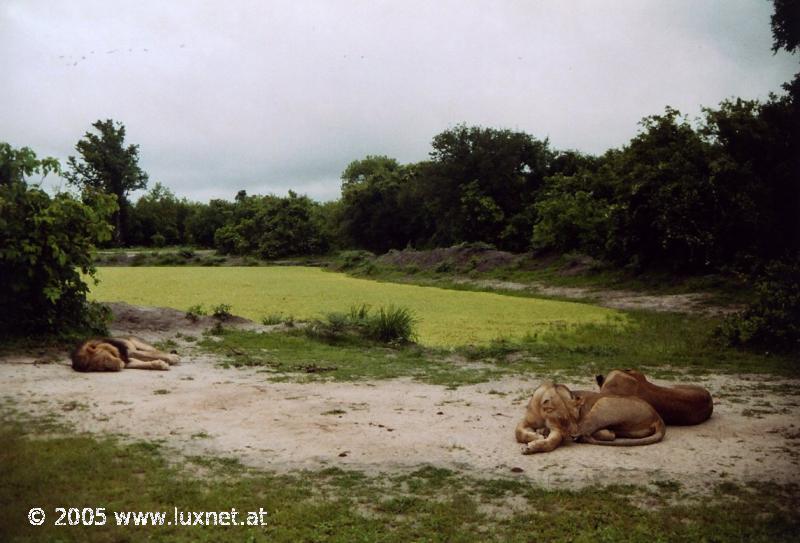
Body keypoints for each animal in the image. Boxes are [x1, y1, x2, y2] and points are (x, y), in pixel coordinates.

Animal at [516, 382, 664, 454]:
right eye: (563, 420)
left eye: (576, 417)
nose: (571, 436)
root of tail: (658, 416)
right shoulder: (526, 421)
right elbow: (518, 433)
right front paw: (536, 436)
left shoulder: (560, 430)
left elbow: (553, 441)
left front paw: (533, 445)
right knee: (609, 434)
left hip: (603, 403)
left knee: (588, 432)